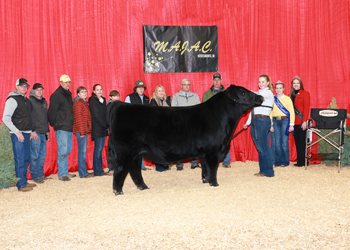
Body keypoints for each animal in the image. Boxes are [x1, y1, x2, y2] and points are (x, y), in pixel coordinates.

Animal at [107, 85, 262, 194]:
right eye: (243, 93)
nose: (260, 97)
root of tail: (119, 105)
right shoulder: (213, 151)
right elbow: (212, 169)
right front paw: (214, 184)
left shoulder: (204, 153)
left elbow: (205, 168)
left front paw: (205, 181)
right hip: (125, 151)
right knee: (120, 169)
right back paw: (118, 191)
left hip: (136, 153)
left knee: (134, 170)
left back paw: (143, 187)